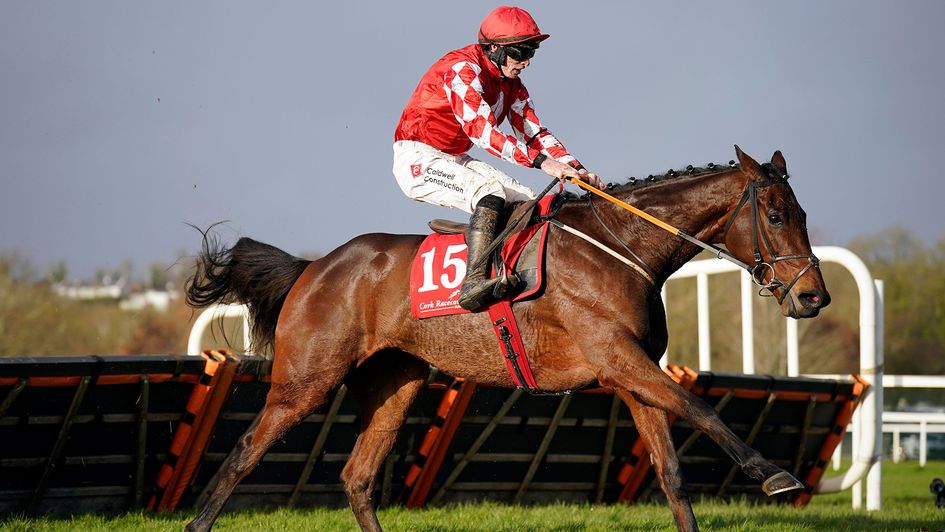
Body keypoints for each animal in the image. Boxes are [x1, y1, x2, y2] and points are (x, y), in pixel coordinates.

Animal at [183, 147, 824, 532]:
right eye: (774, 214)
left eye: (801, 213)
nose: (814, 297)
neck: (622, 246)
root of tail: (312, 268)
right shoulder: (617, 359)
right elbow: (702, 409)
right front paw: (773, 474)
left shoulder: (633, 371)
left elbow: (671, 471)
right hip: (308, 378)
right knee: (246, 449)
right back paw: (197, 521)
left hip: (396, 383)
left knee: (357, 477)